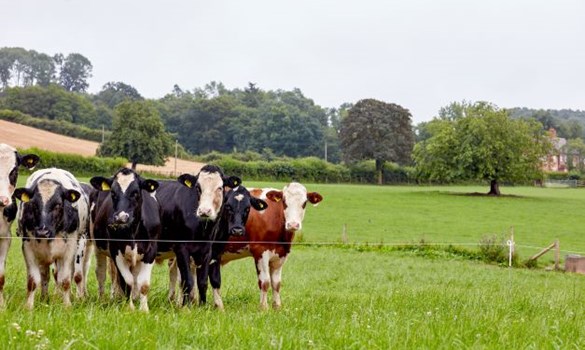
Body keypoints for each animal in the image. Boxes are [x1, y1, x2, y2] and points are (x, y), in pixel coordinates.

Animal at [89, 167, 159, 312]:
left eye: (135, 192)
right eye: (112, 193)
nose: (121, 217)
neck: (133, 231)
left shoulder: (151, 251)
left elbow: (143, 283)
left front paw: (144, 309)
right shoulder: (116, 251)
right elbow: (127, 281)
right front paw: (129, 308)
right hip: (98, 247)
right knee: (103, 274)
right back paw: (105, 298)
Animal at [155, 165, 240, 304]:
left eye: (220, 187)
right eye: (198, 187)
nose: (204, 211)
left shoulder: (207, 251)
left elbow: (202, 282)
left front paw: (202, 305)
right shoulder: (181, 249)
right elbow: (187, 281)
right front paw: (185, 306)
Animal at [219, 182, 322, 310]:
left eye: (304, 203)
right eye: (284, 201)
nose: (293, 224)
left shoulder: (280, 254)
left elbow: (276, 283)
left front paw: (277, 307)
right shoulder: (260, 251)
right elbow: (265, 282)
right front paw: (263, 307)